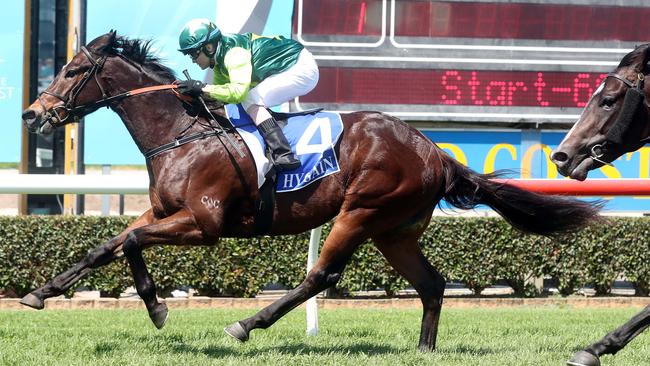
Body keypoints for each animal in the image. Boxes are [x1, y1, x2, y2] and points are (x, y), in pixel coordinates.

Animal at [20, 33, 596, 354]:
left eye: (74, 70)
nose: (31, 114)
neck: (182, 132)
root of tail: (432, 149)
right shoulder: (161, 211)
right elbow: (107, 246)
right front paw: (41, 292)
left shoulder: (204, 224)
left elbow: (134, 245)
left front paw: (158, 308)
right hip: (393, 231)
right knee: (431, 284)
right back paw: (424, 348)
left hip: (362, 210)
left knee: (320, 276)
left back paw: (246, 324)